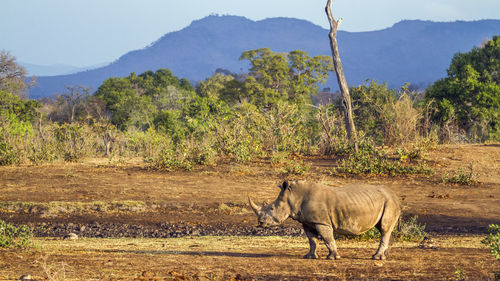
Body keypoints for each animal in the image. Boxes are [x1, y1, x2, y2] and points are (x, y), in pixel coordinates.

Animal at [250, 179, 402, 258]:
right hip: (385, 202)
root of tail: (396, 196)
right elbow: (312, 240)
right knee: (382, 228)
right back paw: (384, 255)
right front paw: (309, 256)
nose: (260, 223)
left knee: (384, 228)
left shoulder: (321, 222)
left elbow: (328, 239)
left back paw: (376, 257)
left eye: (271, 208)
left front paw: (333, 257)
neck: (294, 196)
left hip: (390, 203)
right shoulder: (308, 222)